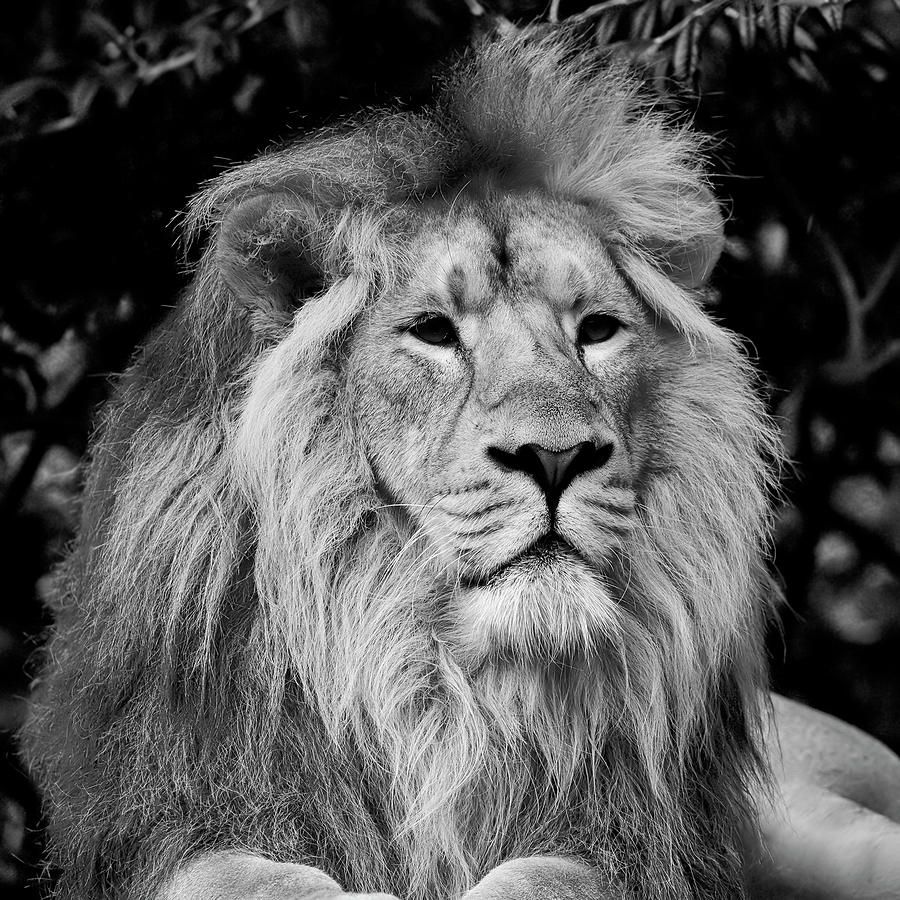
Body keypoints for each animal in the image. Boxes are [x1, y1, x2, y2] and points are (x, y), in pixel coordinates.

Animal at [19, 26, 900, 900]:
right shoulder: (183, 813)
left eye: (598, 330)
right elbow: (251, 880)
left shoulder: (636, 844)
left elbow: (546, 880)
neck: (437, 682)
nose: (556, 456)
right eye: (435, 333)